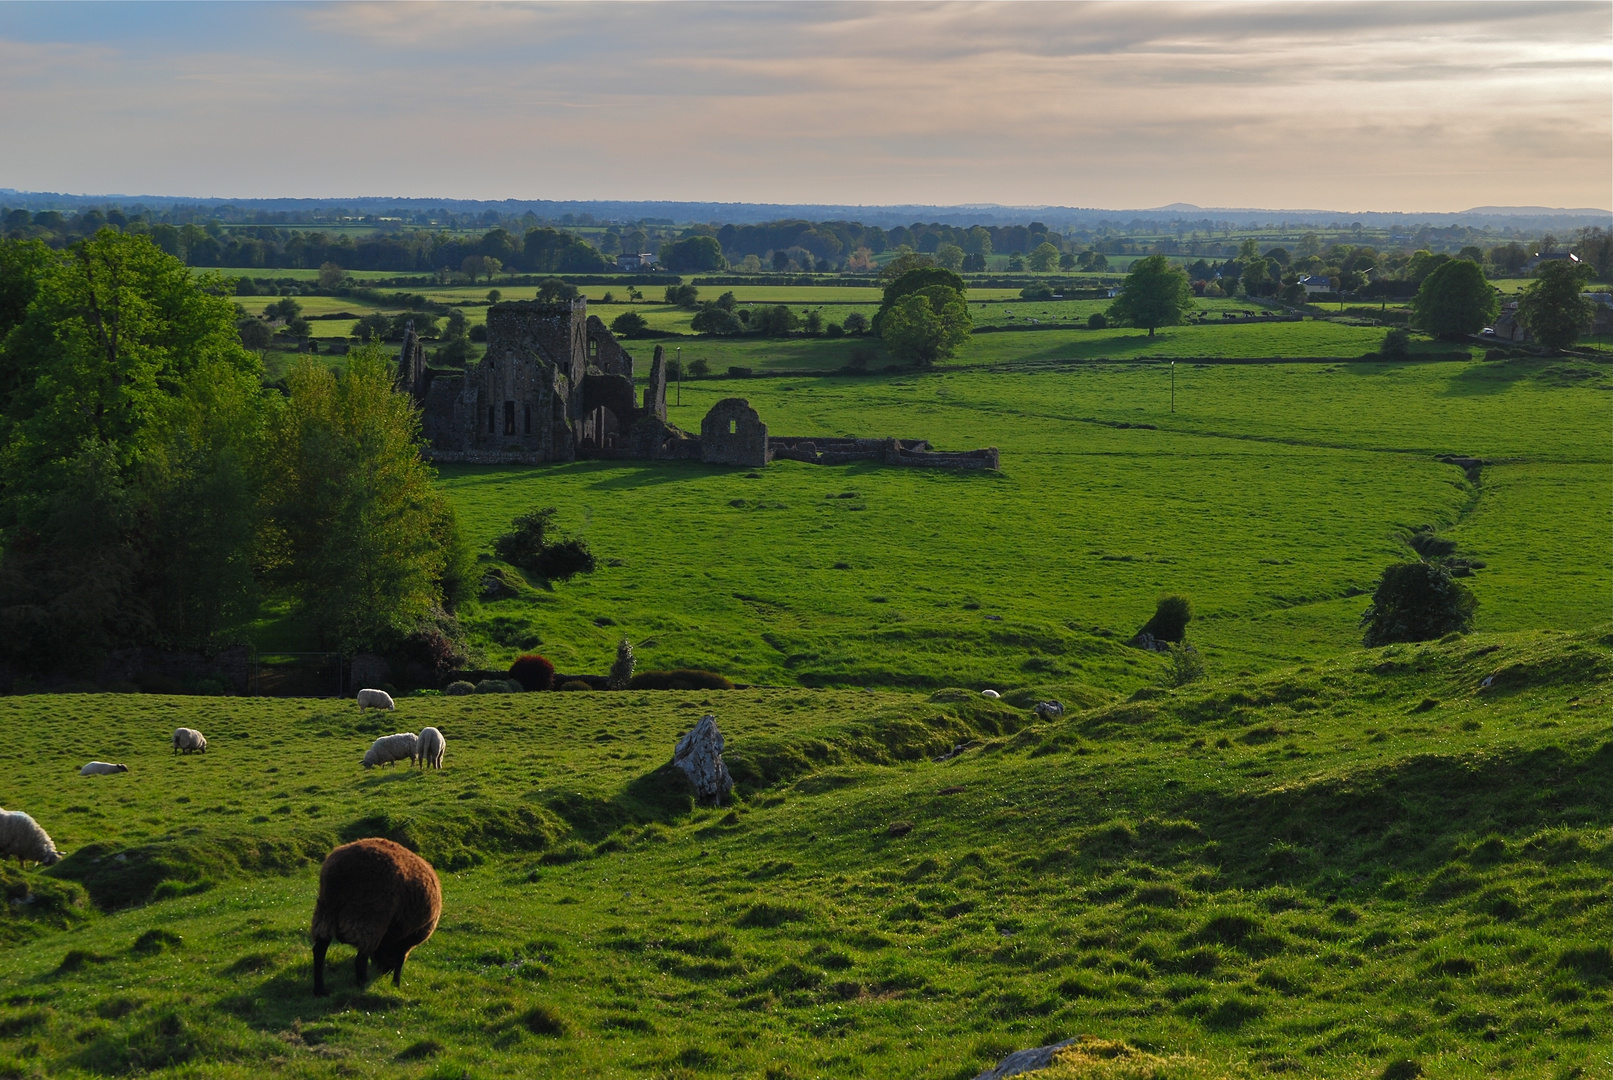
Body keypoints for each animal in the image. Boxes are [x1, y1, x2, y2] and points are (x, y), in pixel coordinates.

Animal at [309, 838, 441, 999]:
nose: (383, 971)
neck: (389, 940)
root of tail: (339, 873)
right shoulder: (409, 938)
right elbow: (400, 961)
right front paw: (396, 984)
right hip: (369, 918)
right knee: (360, 959)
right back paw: (362, 984)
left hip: (325, 913)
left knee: (319, 951)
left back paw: (320, 990)